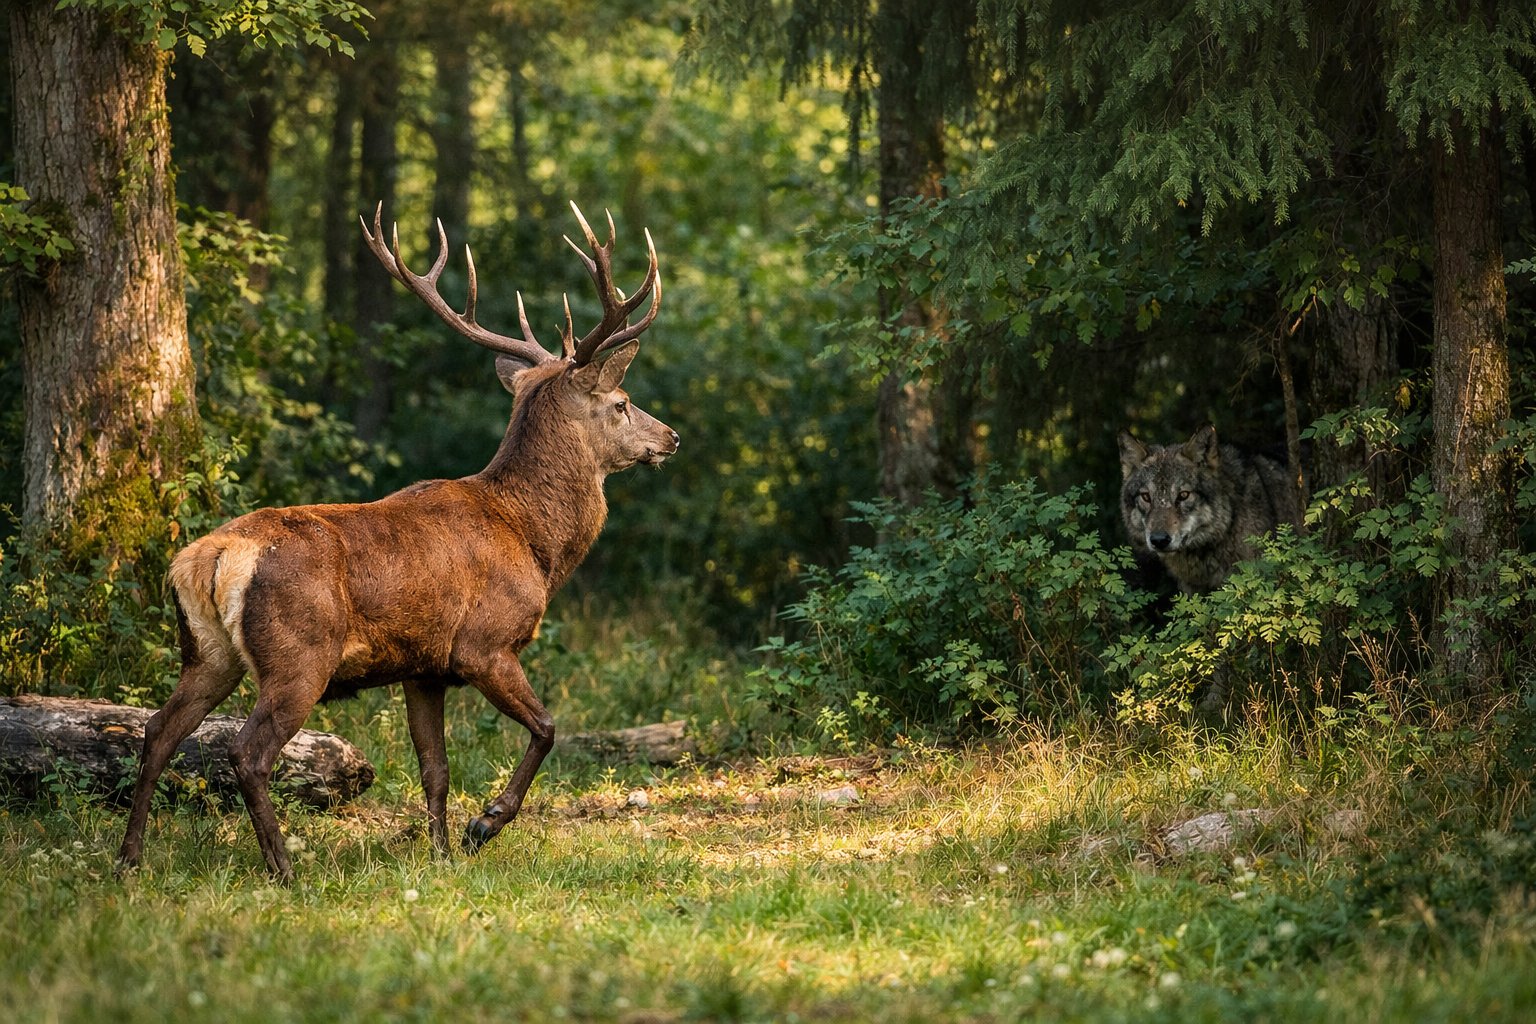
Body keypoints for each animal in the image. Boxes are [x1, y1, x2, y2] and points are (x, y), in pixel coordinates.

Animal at [116, 202, 677, 883]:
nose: (671, 437)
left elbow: (434, 768)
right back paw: (283, 869)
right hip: (299, 653)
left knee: (157, 733)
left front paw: (440, 854)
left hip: (207, 653)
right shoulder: (484, 644)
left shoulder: (423, 667)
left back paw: (129, 859)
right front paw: (483, 825)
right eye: (621, 402)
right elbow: (546, 728)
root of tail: (212, 558)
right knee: (246, 751)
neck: (535, 542)